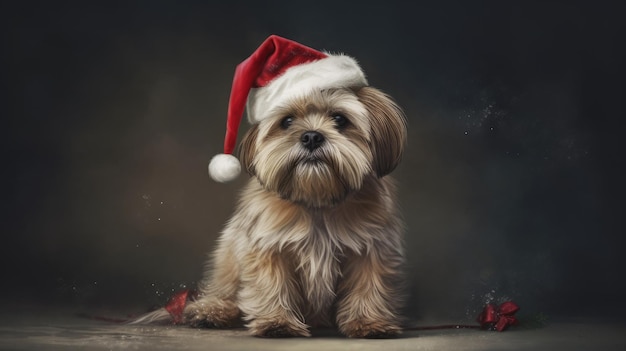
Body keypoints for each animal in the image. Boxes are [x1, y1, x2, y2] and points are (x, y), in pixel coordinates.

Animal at [184, 83, 410, 338]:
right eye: (287, 121)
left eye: (340, 119)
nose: (311, 136)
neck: (316, 199)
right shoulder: (269, 249)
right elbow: (272, 285)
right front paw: (276, 322)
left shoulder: (371, 249)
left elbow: (368, 286)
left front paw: (368, 322)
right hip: (228, 254)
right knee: (223, 290)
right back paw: (211, 311)